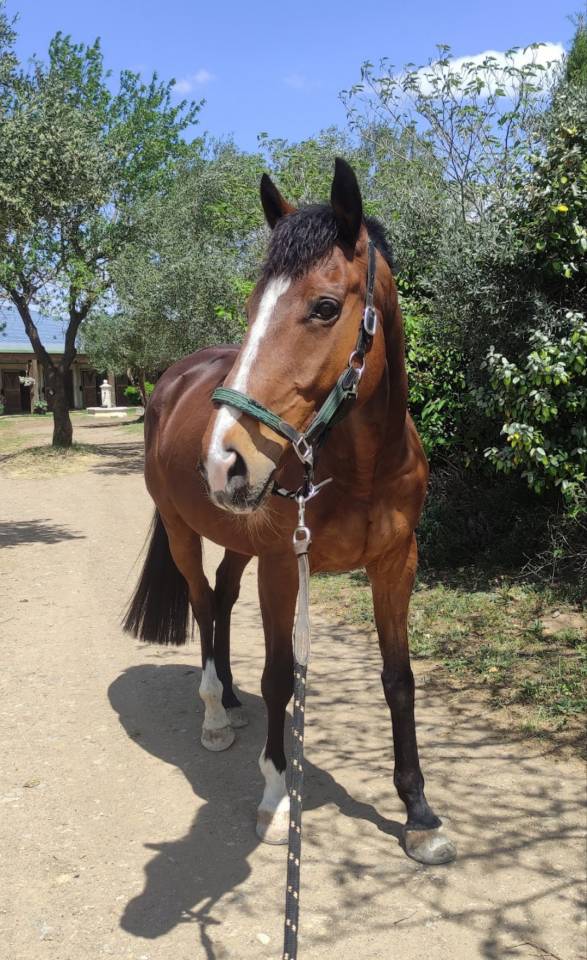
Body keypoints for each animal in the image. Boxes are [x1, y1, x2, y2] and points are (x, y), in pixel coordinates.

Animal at [124, 157, 456, 867]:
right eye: (252, 308)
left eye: (325, 307)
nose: (223, 462)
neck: (359, 470)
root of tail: (170, 381)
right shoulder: (282, 565)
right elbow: (280, 676)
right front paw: (277, 796)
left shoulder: (397, 563)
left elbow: (399, 679)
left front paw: (419, 812)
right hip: (184, 532)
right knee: (201, 604)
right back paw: (215, 715)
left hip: (236, 540)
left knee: (221, 602)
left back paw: (230, 697)